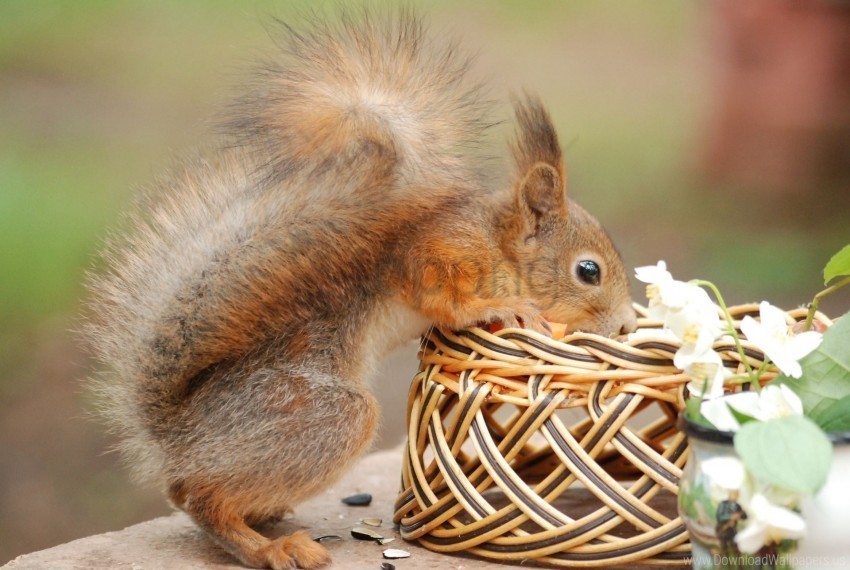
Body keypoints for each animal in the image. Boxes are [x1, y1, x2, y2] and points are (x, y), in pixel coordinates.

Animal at [81, 8, 636, 568]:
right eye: (589, 271)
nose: (626, 324)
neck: (497, 243)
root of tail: (177, 436)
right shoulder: (440, 253)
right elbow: (443, 298)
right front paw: (509, 307)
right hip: (320, 416)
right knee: (199, 496)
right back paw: (272, 548)